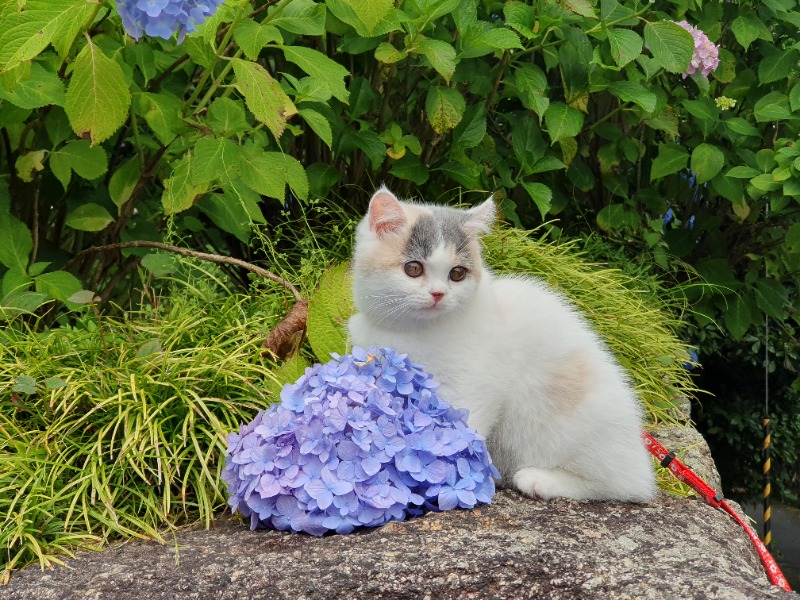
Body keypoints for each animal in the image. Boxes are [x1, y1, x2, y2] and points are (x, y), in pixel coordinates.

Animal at [348, 188, 656, 502]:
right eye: (413, 268)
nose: (438, 293)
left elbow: (463, 429)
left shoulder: (476, 382)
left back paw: (541, 479)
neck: (412, 330)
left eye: (457, 274)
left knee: (618, 484)